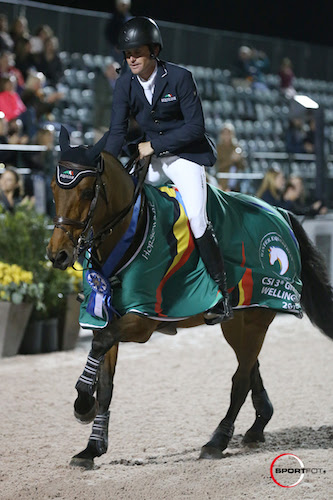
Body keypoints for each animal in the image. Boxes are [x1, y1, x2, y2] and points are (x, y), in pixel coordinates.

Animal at [46, 128, 332, 468]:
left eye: (88, 191)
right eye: (53, 188)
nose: (58, 254)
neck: (131, 230)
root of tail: (281, 213)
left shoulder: (142, 319)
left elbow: (100, 346)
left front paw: (82, 403)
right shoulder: (106, 317)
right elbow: (106, 382)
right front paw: (91, 446)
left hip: (256, 316)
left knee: (240, 379)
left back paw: (217, 441)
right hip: (239, 320)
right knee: (250, 368)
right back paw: (257, 427)